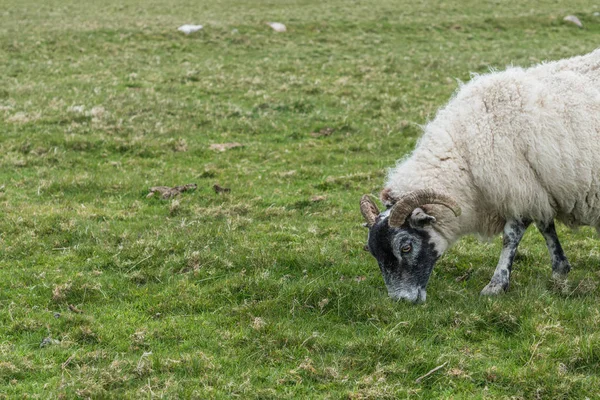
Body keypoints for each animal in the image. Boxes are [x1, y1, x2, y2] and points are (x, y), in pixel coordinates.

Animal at [358, 48, 600, 302]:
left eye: (406, 247)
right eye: (372, 251)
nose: (401, 300)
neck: (465, 156)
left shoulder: (517, 187)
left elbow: (511, 237)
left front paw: (496, 285)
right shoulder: (535, 189)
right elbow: (546, 228)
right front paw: (559, 269)